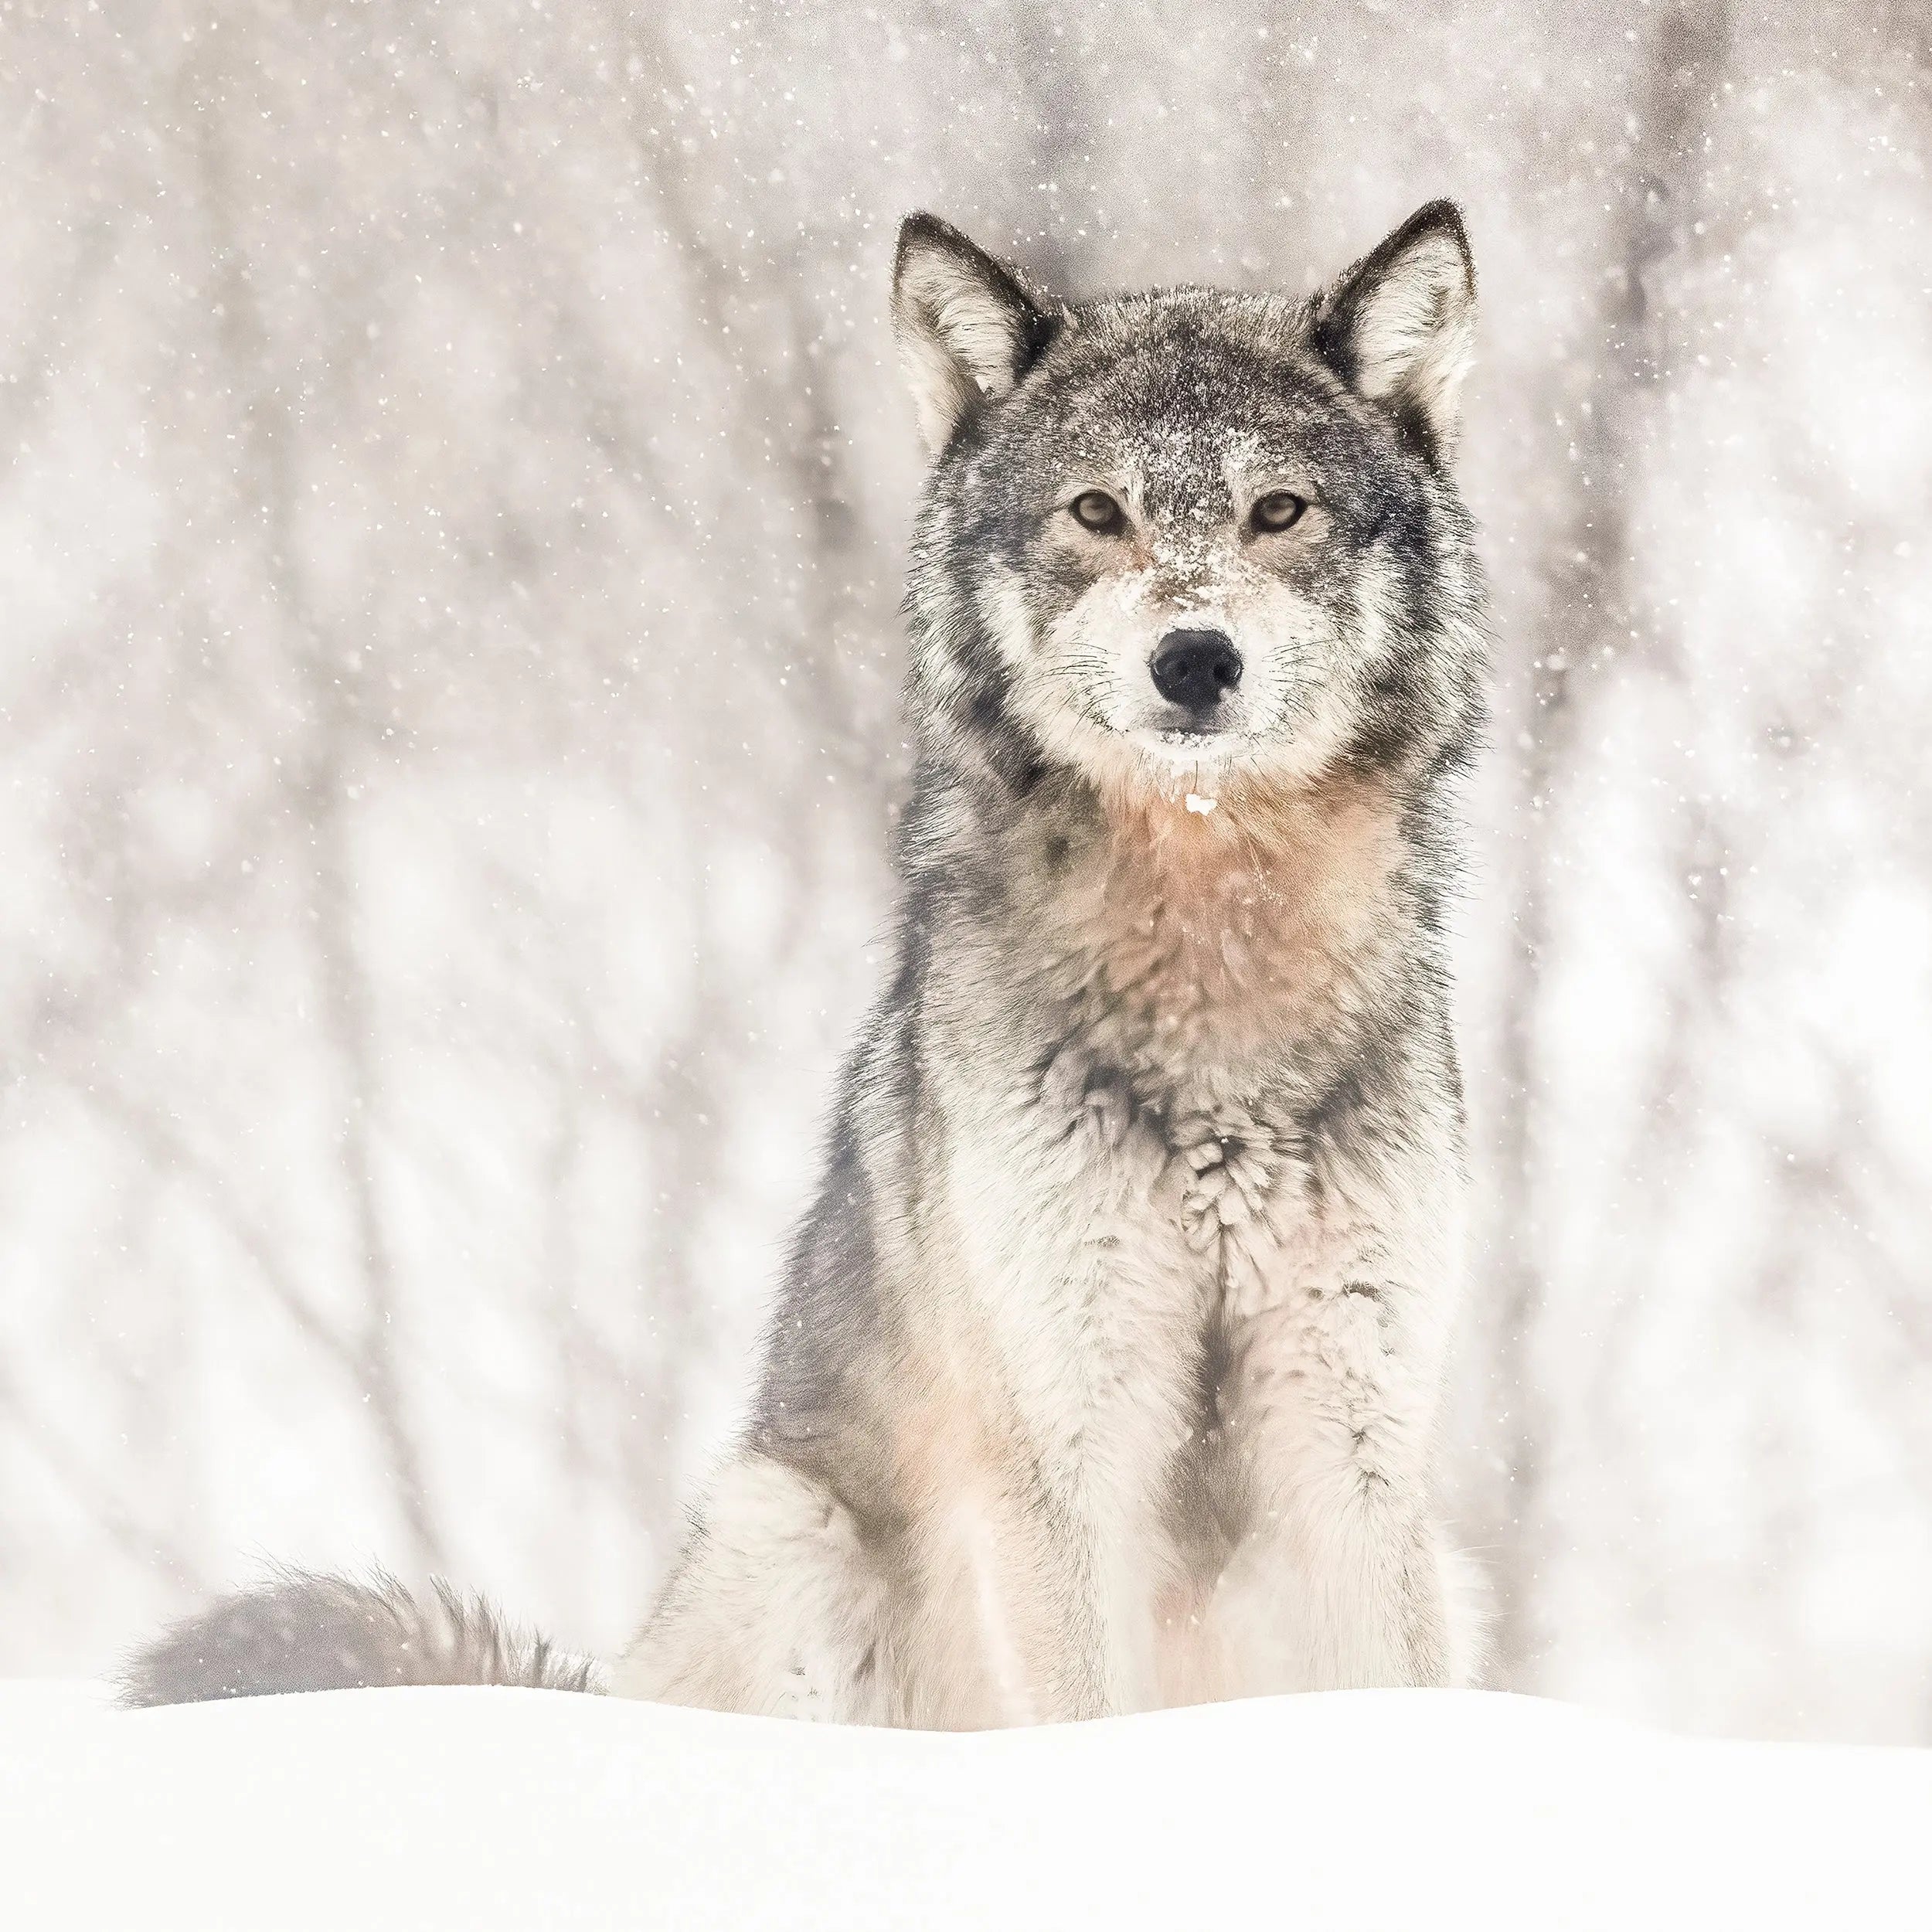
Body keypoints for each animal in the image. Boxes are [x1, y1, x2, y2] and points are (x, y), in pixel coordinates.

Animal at [123, 200, 1490, 1724]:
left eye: (1278, 513)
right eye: (1098, 513)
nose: (1196, 660)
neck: (1215, 972)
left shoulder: (1356, 1446)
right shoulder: (1059, 1447)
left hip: (1446, 1563)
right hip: (790, 1534)